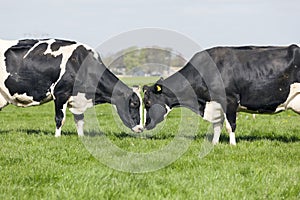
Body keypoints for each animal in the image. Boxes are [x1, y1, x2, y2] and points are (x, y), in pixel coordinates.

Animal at [0, 38, 144, 137]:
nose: (141, 128)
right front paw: (57, 137)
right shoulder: (60, 94)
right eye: (134, 103)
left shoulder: (78, 99)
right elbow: (60, 118)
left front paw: (81, 137)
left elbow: (80, 121)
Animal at [143, 44, 300, 145]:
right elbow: (217, 125)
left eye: (148, 103)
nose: (145, 126)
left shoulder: (230, 100)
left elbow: (230, 125)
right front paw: (214, 143)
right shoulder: (215, 103)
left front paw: (232, 145)